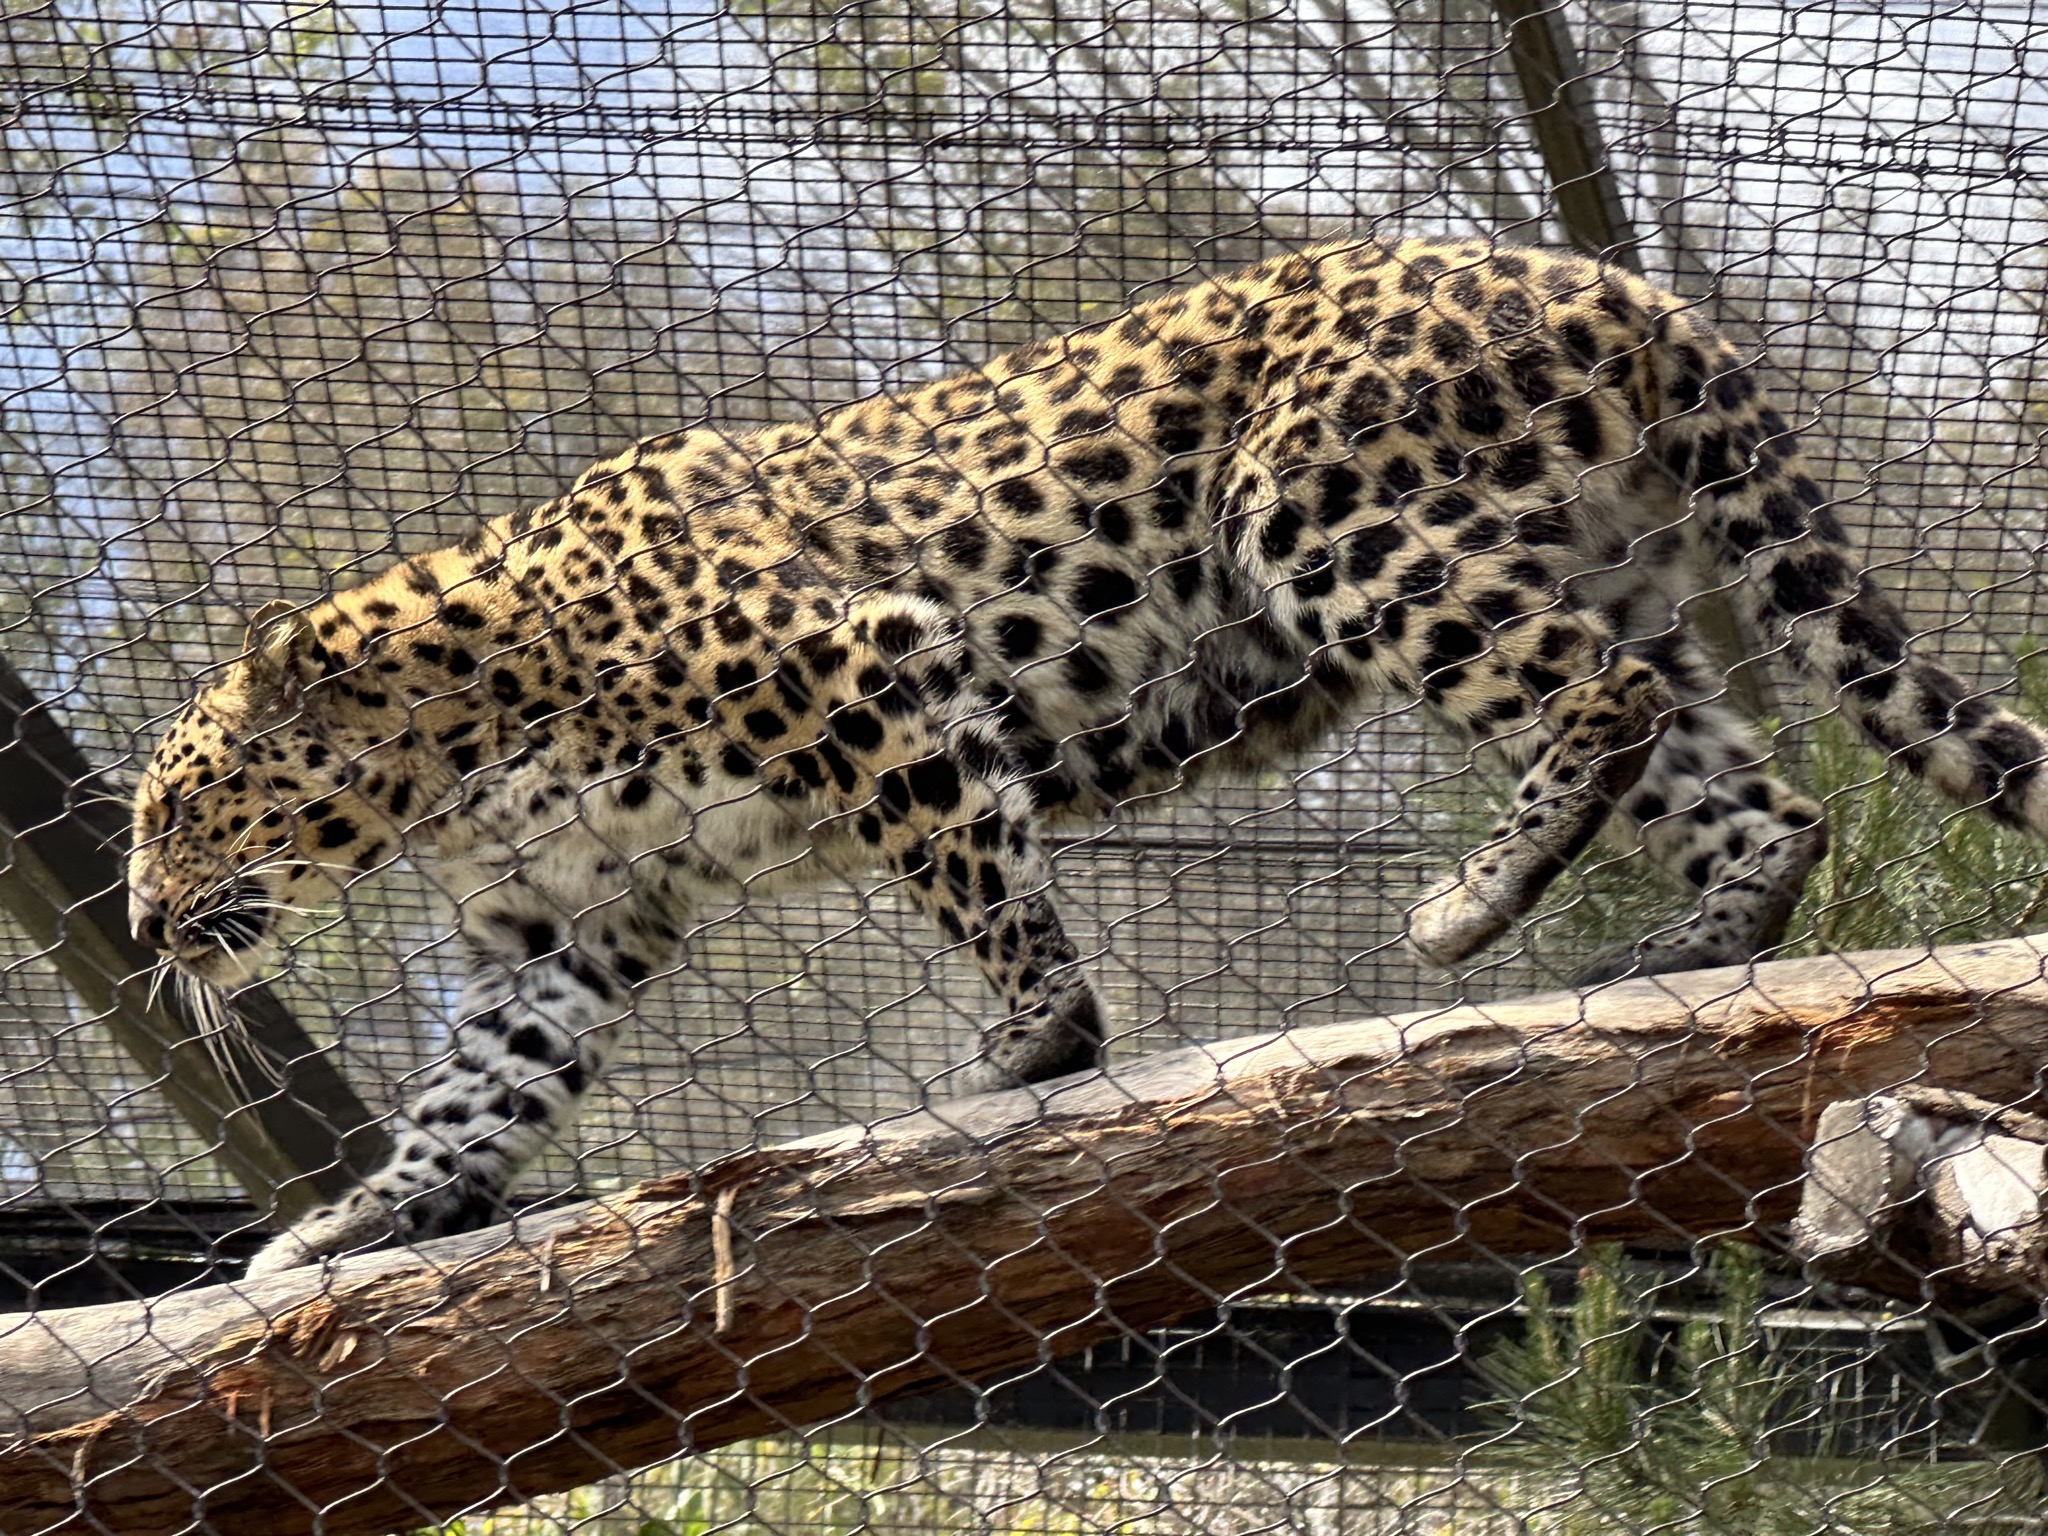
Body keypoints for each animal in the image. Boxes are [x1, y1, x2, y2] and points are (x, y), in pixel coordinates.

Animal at [127, 234, 2048, 1277]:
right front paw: (359, 1225)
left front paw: (1031, 1052)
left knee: (1592, 701)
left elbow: (979, 878)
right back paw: (1689, 946)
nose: (142, 923)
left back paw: (1468, 909)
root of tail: (1614, 281)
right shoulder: (569, 924)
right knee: (1749, 779)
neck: (451, 762)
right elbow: (481, 1090)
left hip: (1334, 516)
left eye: (176, 808)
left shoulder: (869, 675)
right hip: (1616, 571)